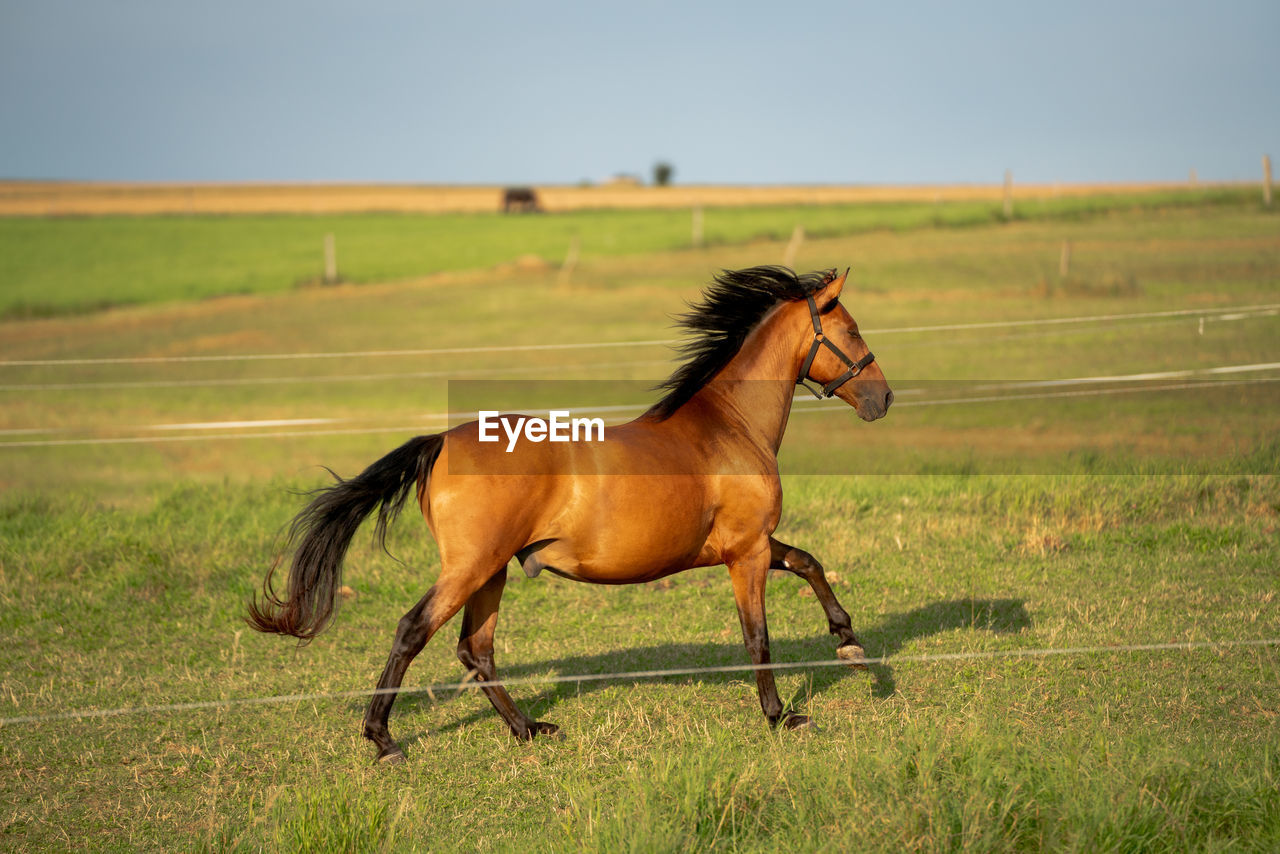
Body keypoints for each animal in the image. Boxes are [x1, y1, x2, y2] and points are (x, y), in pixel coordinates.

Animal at [249, 267, 890, 763]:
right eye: (852, 330)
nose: (883, 399)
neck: (729, 426)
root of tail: (439, 444)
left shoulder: (750, 544)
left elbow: (809, 562)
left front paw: (849, 644)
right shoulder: (746, 551)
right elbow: (758, 634)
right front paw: (781, 716)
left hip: (493, 571)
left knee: (475, 648)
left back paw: (528, 729)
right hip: (471, 567)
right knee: (413, 631)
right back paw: (383, 741)